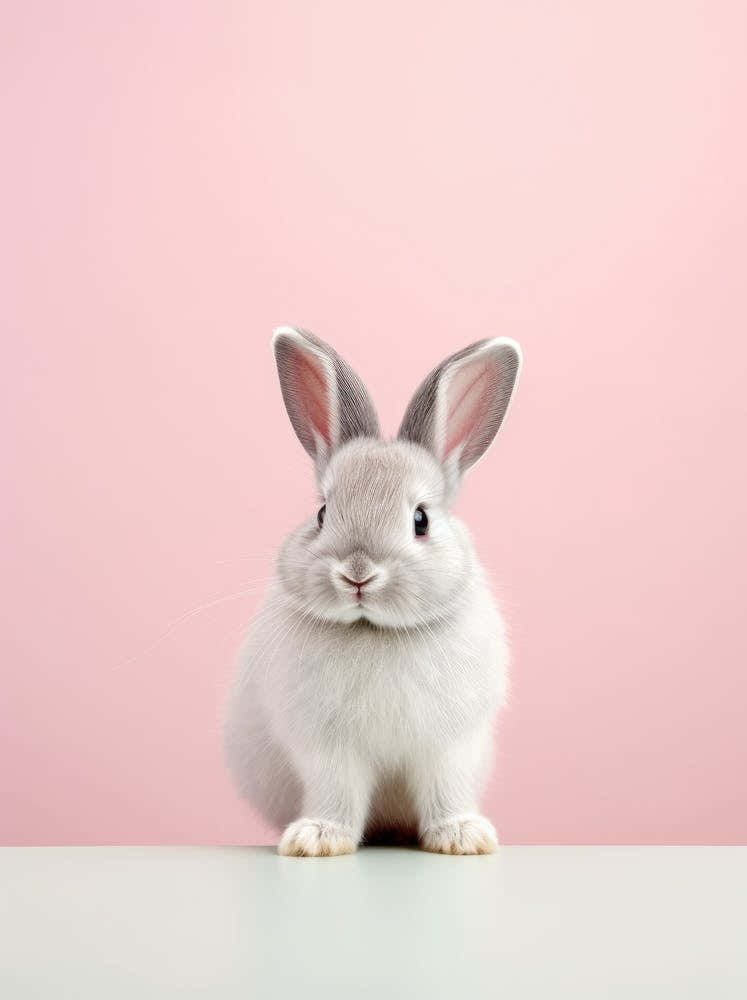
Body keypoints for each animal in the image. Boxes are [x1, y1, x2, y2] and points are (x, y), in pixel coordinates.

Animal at [223, 326, 522, 856]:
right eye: (323, 513)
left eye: (421, 519)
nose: (357, 574)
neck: (375, 633)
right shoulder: (327, 750)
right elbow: (336, 793)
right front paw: (317, 839)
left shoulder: (448, 747)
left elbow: (445, 791)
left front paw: (463, 837)